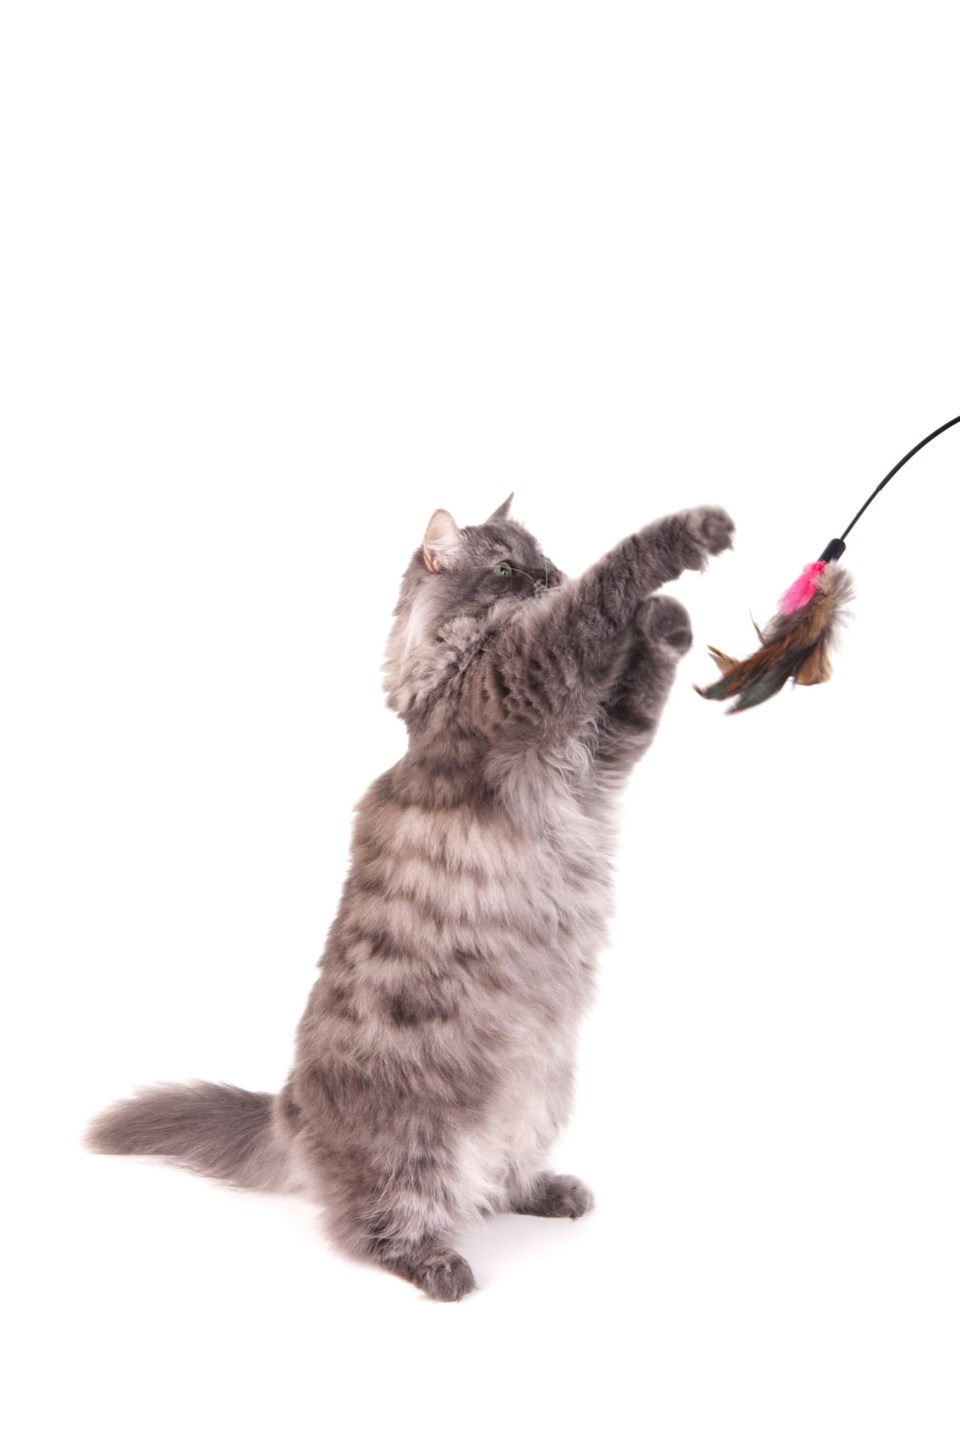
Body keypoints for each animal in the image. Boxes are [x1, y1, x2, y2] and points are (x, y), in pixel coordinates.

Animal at [89, 495, 736, 1307]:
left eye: (543, 556)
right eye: (505, 569)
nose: (547, 576)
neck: (448, 667)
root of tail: (288, 1109)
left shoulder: (606, 745)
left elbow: (637, 681)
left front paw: (666, 620)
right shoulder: (528, 675)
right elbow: (603, 589)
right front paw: (689, 536)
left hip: (536, 1104)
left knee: (495, 1184)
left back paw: (549, 1192)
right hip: (417, 1143)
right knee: (382, 1221)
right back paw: (440, 1267)